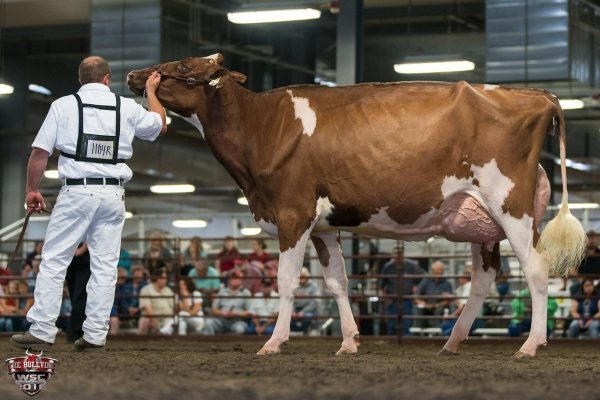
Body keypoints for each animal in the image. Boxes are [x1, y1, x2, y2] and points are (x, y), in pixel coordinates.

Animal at [127, 54, 587, 358]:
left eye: (184, 71)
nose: (134, 75)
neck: (261, 127)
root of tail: (537, 95)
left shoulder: (293, 214)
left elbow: (287, 282)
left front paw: (274, 342)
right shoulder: (324, 227)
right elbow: (337, 282)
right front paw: (349, 342)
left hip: (511, 204)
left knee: (536, 268)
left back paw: (530, 345)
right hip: (479, 219)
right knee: (484, 277)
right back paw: (453, 342)